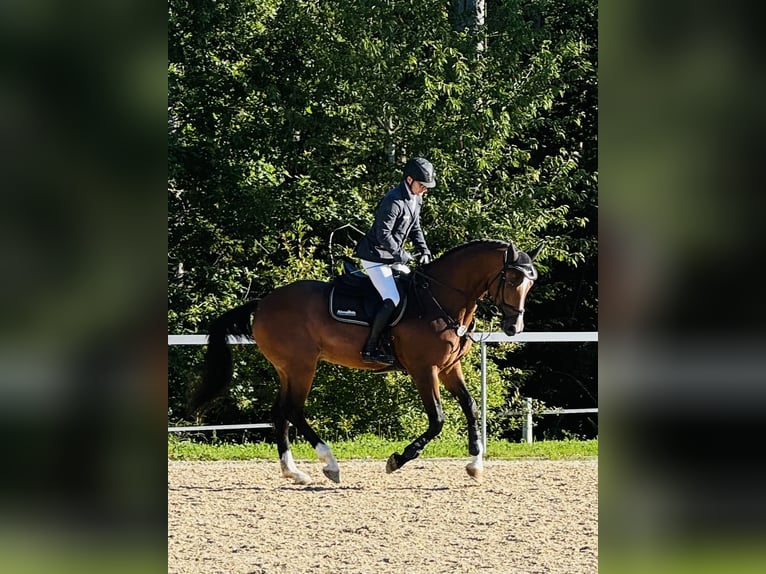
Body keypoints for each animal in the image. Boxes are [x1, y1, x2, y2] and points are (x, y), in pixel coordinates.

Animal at [188, 239, 542, 484]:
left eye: (531, 282)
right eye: (512, 280)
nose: (514, 327)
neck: (440, 300)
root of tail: (263, 302)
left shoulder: (448, 368)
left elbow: (470, 407)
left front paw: (475, 464)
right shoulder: (423, 370)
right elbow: (438, 419)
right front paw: (398, 459)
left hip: (287, 368)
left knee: (280, 413)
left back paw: (294, 472)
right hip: (302, 366)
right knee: (293, 411)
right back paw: (329, 464)